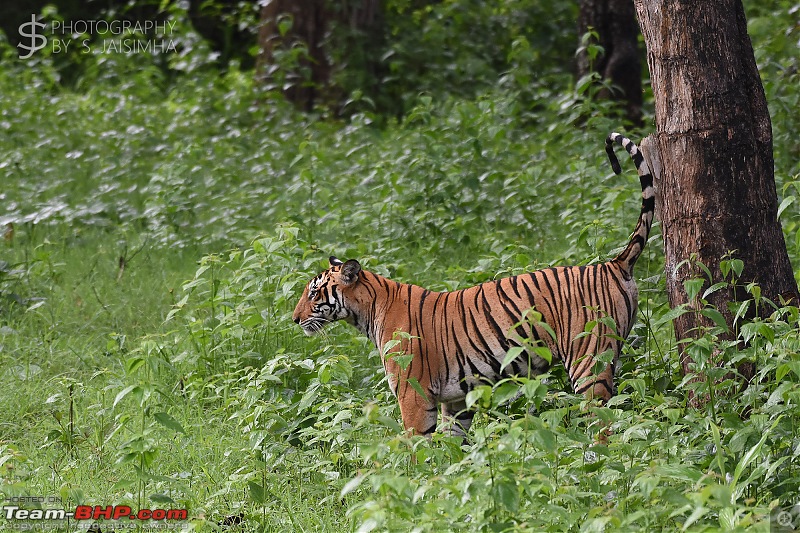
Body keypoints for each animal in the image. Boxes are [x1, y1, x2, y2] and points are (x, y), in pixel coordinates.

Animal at [290, 133, 652, 436]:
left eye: (313, 292)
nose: (294, 319)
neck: (368, 310)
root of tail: (614, 264)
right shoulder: (455, 399)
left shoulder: (413, 394)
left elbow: (414, 448)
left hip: (588, 360)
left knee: (603, 421)